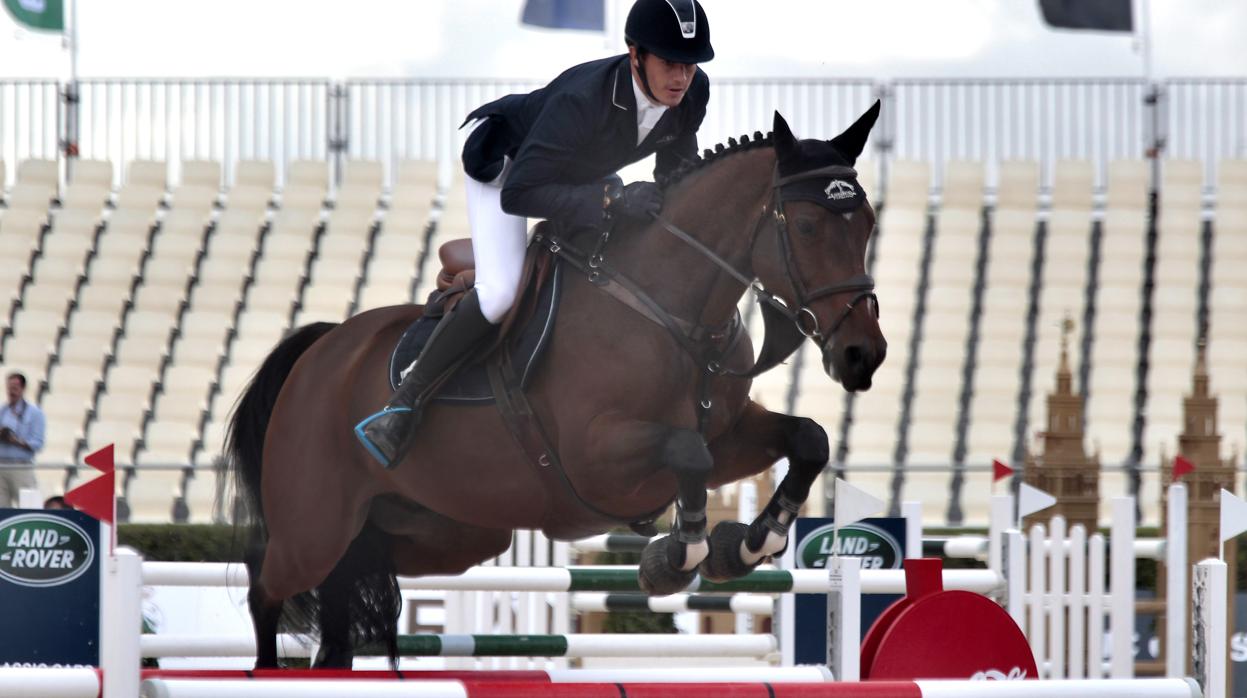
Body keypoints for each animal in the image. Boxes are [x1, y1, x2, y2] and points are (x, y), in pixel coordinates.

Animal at [226, 102, 887, 663]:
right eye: (806, 226)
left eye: (868, 223)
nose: (864, 355)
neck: (667, 309)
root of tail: (322, 348)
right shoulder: (597, 461)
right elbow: (687, 453)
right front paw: (677, 557)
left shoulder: (728, 435)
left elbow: (807, 440)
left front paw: (750, 543)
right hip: (314, 529)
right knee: (265, 585)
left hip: (442, 533)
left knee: (345, 599)